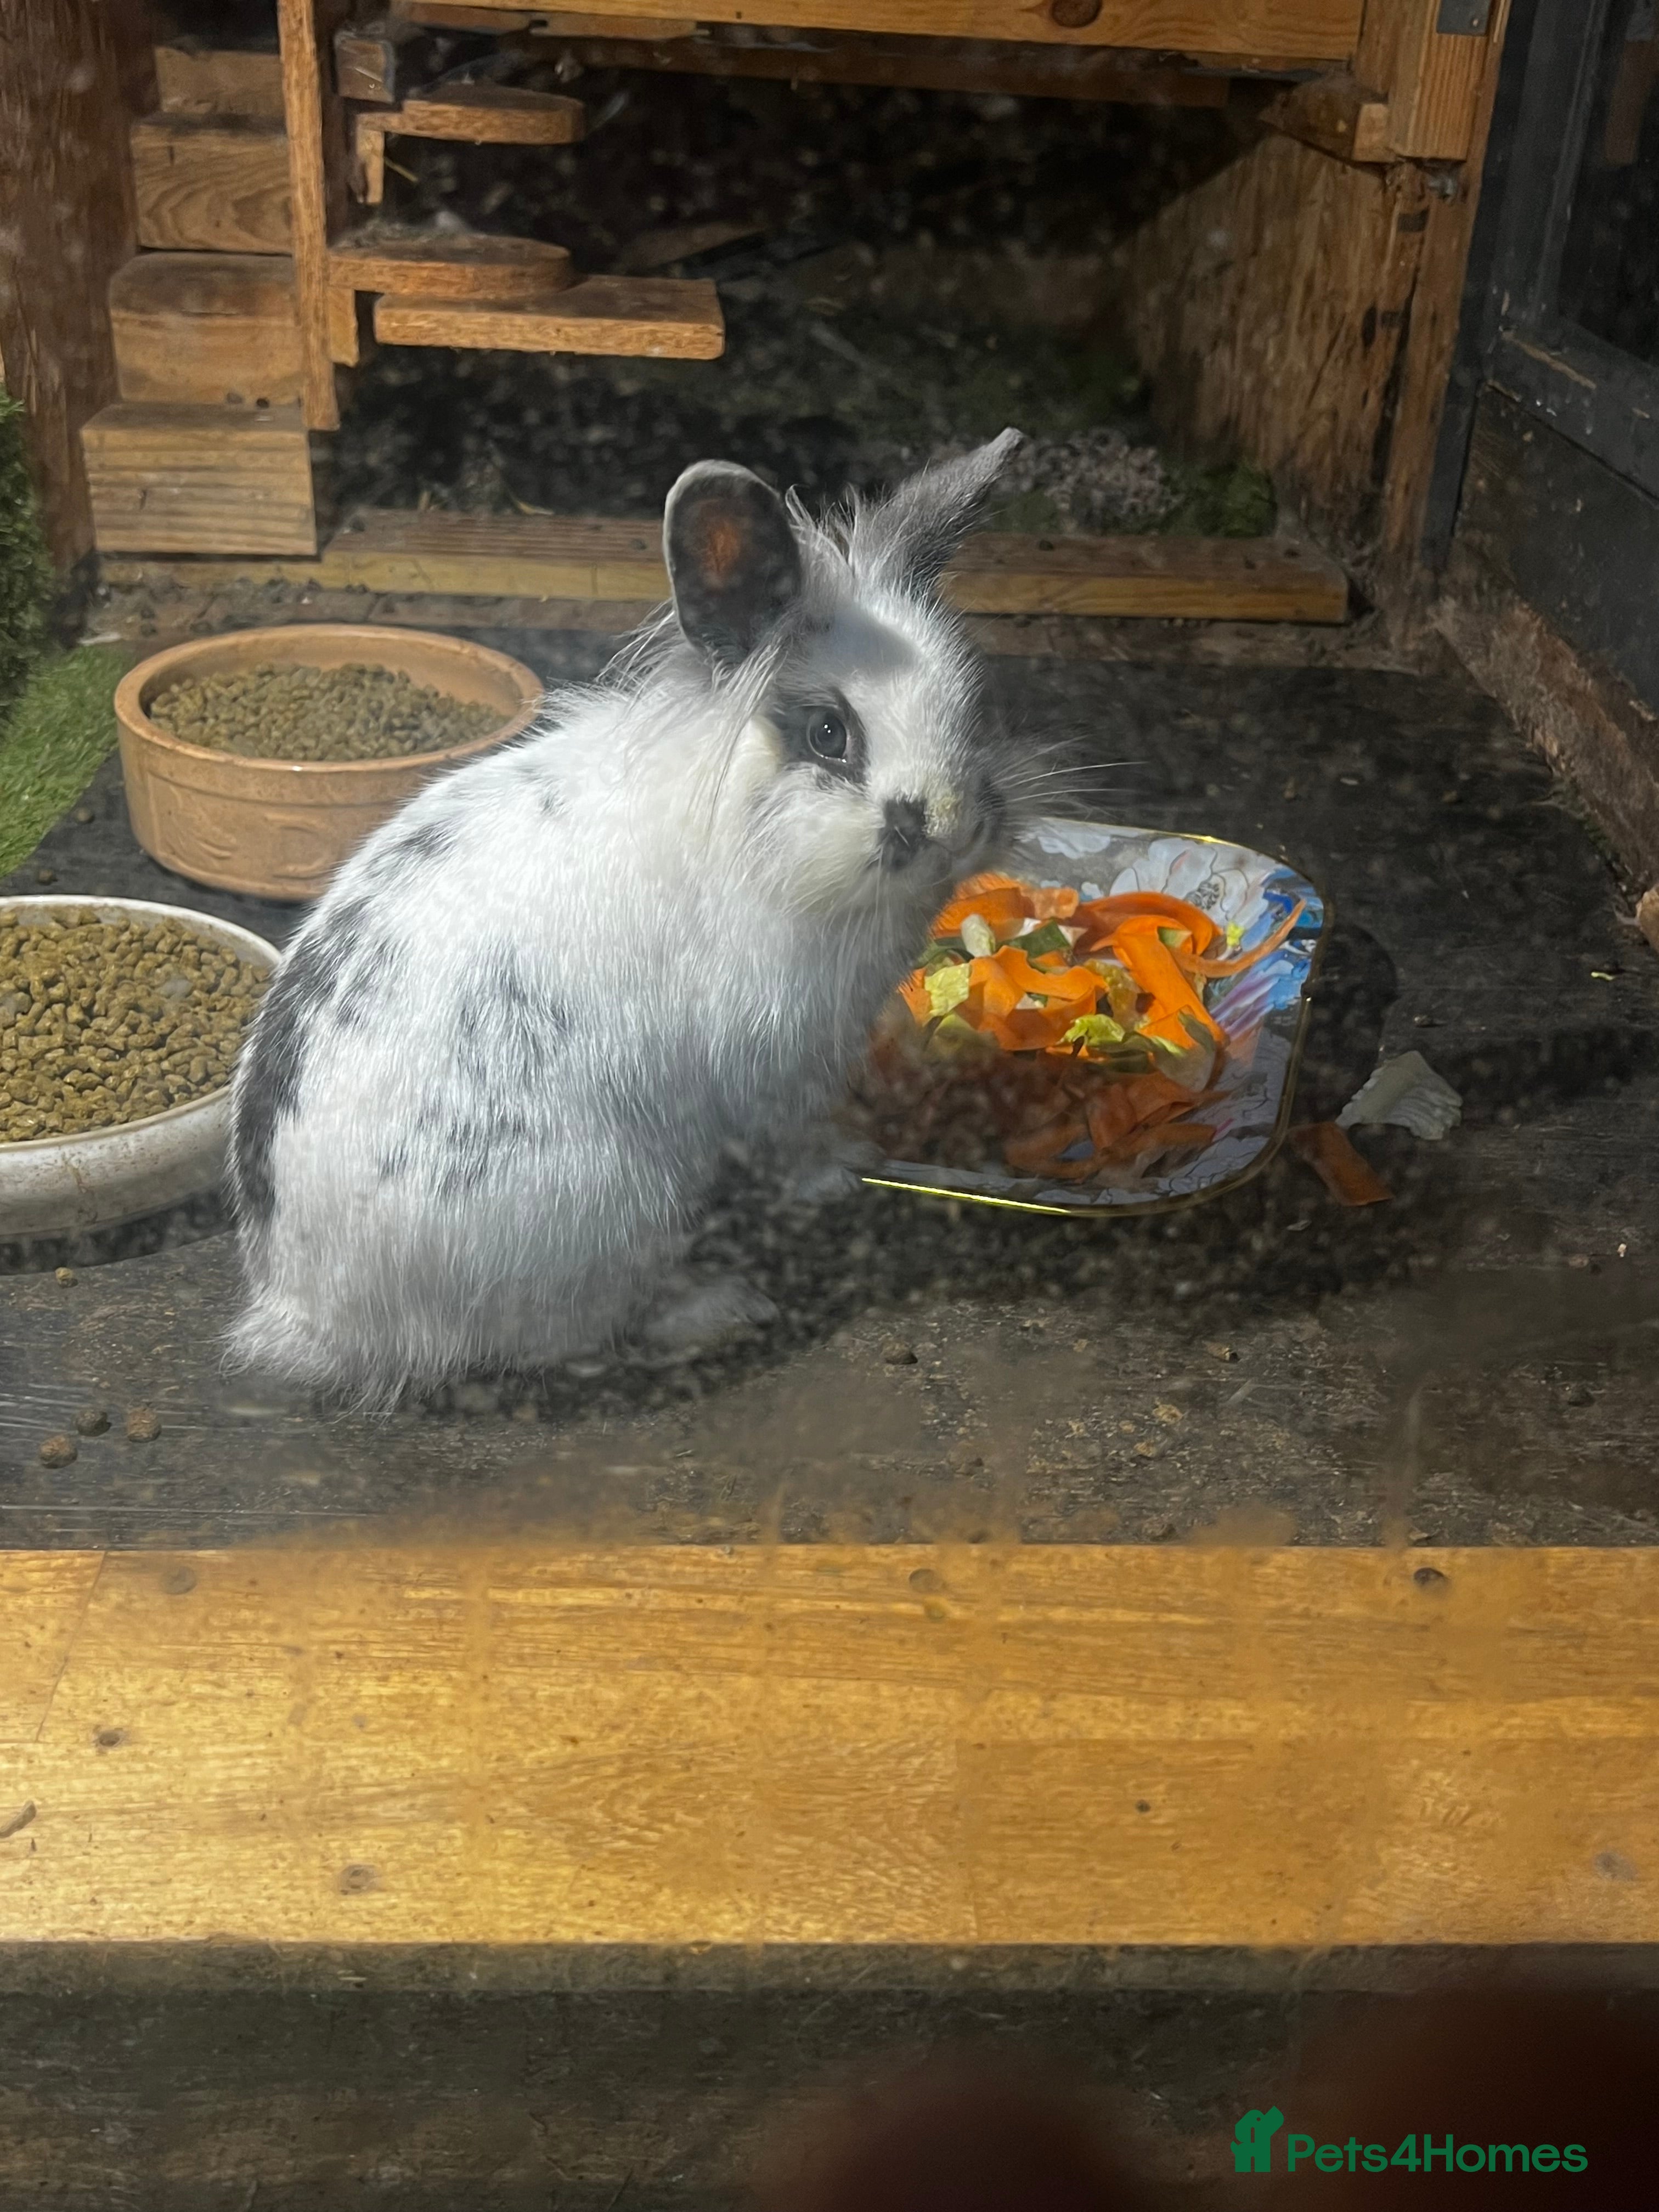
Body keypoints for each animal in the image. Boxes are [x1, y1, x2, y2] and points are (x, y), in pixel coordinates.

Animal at [225, 429, 1037, 1409]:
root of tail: (313, 1313)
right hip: (610, 1207)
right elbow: (790, 1141)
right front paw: (837, 1175)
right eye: (829, 734)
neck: (746, 832)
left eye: (974, 704)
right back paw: (720, 1308)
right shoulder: (777, 1063)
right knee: (580, 1333)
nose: (956, 829)